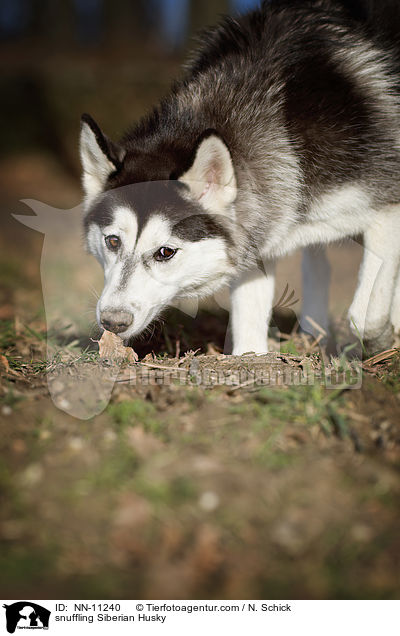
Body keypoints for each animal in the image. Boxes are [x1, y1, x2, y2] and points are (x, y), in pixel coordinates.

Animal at [79, 0, 400, 356]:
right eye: (112, 241)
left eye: (166, 252)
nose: (112, 321)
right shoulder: (260, 239)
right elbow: (249, 329)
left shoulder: (389, 210)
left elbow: (364, 315)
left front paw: (383, 340)